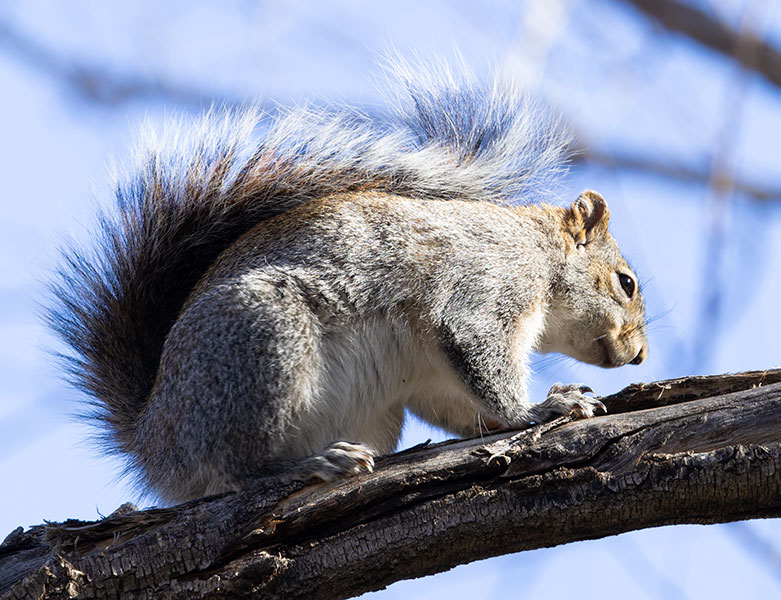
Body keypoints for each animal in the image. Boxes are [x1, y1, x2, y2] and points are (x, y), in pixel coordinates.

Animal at [48, 61, 648, 504]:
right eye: (626, 283)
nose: (640, 354)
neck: (540, 256)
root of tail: (152, 441)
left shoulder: (431, 375)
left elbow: (461, 406)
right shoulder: (484, 287)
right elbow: (483, 359)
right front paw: (541, 410)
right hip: (263, 344)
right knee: (234, 467)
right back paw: (311, 465)